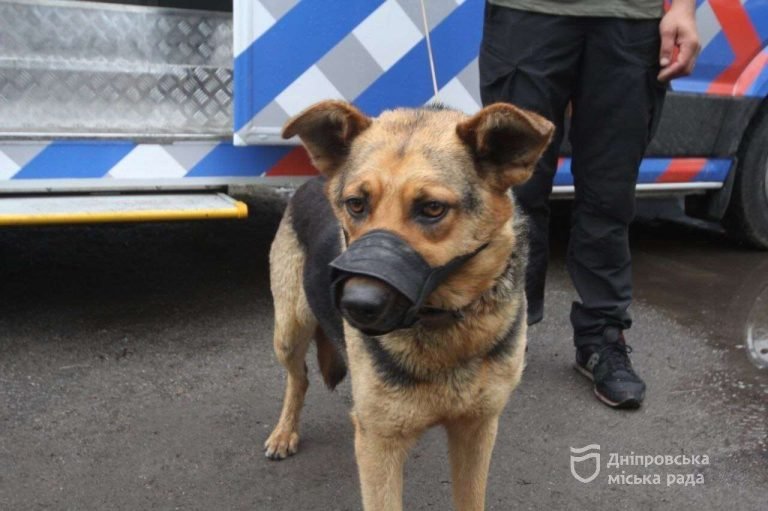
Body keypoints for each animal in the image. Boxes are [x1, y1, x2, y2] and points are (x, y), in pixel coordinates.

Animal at [264, 101, 552, 511]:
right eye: (356, 204)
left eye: (432, 208)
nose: (354, 305)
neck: (443, 324)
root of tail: (313, 179)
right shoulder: (378, 444)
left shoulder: (476, 430)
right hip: (288, 331)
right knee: (298, 377)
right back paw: (284, 432)